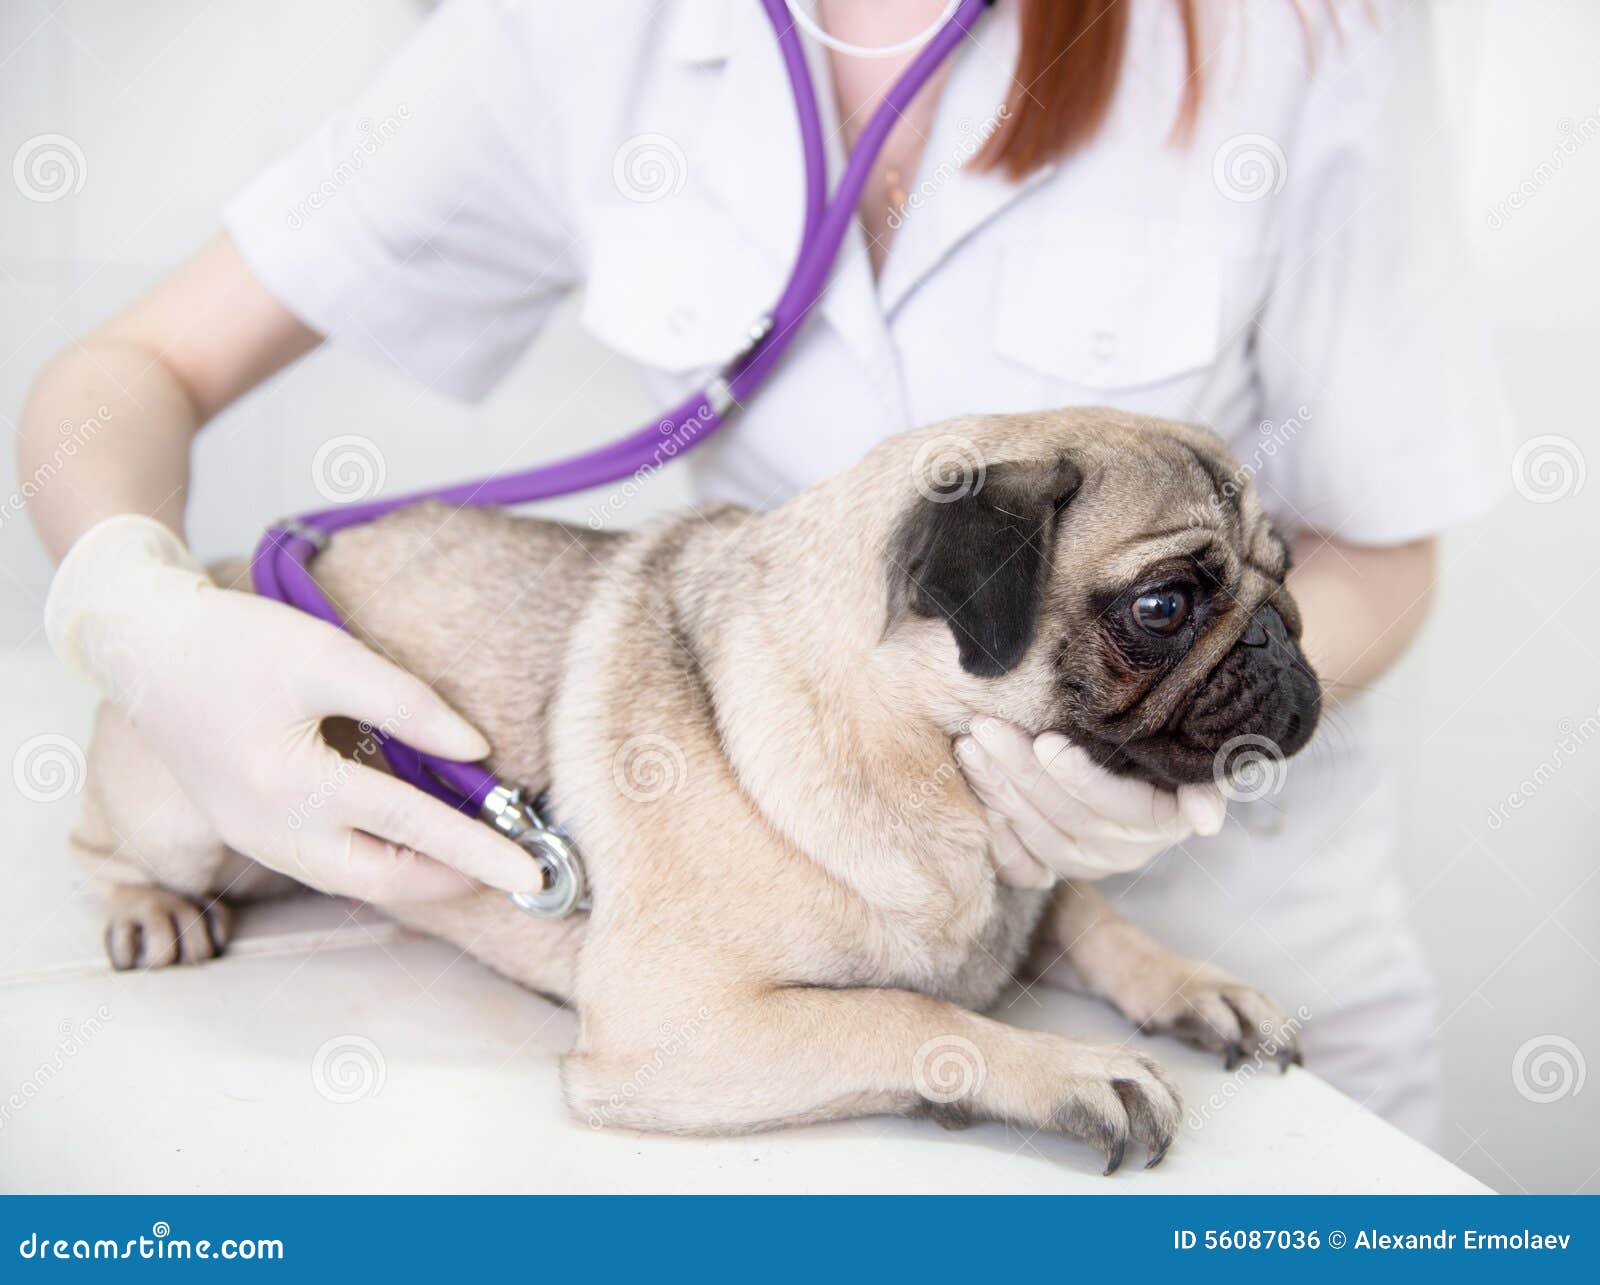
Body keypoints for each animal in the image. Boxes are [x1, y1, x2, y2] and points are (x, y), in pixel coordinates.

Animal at [72, 406, 1324, 1171]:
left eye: (1289, 575)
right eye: (1162, 605)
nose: (1279, 637)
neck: (932, 790)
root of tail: (223, 572)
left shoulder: (1030, 878)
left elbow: (1095, 914)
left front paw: (1195, 986)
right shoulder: (673, 1025)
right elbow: (905, 1012)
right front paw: (1066, 1067)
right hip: (189, 811)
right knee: (107, 845)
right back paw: (151, 909)